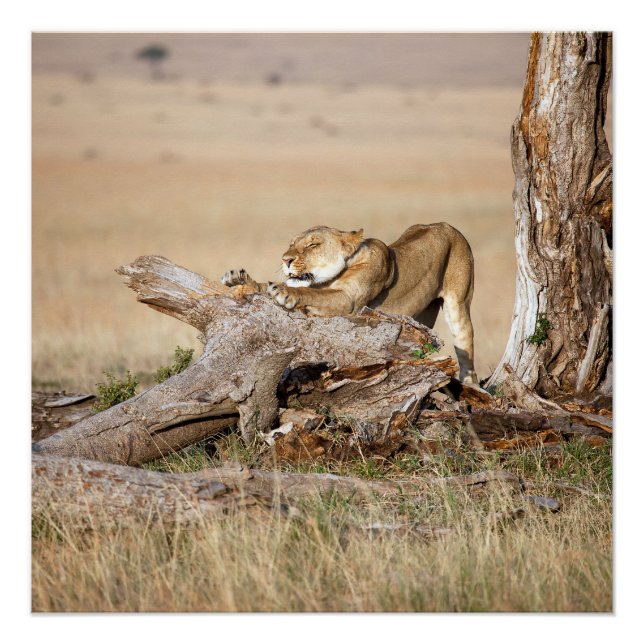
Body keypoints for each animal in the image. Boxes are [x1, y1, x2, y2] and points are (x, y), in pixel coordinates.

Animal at [221, 223, 477, 383]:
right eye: (292, 244)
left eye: (313, 245)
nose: (285, 260)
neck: (328, 279)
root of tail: (445, 225)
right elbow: (263, 286)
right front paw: (238, 279)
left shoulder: (349, 300)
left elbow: (310, 294)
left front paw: (284, 292)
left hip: (459, 305)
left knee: (466, 354)